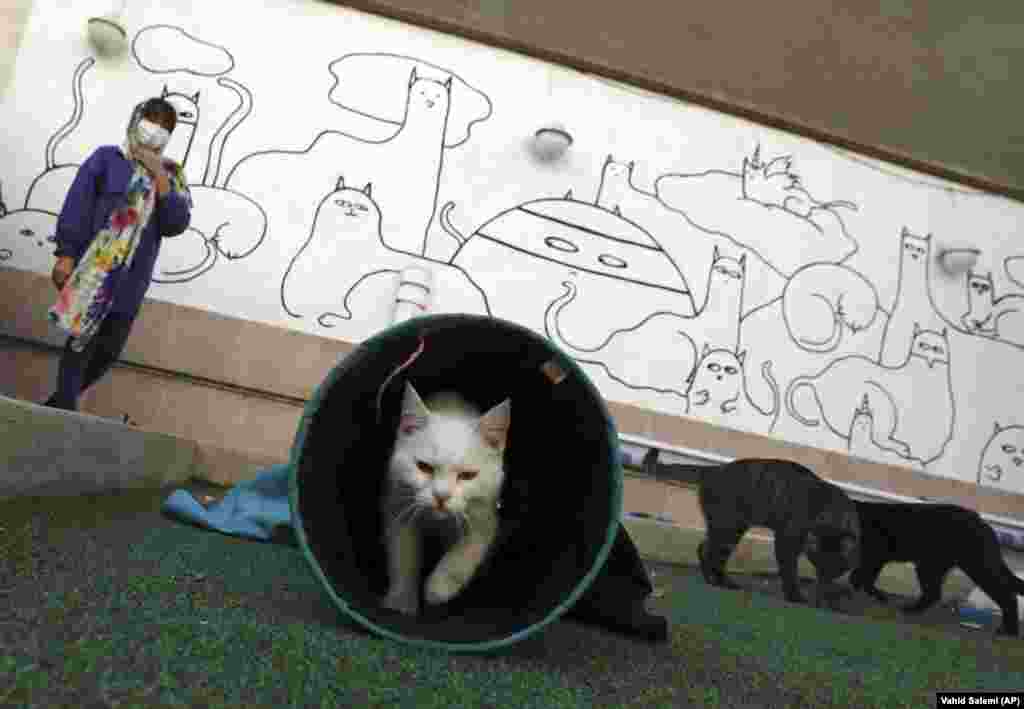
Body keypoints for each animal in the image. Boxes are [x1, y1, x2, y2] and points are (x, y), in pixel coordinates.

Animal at [380, 383, 512, 614]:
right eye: (423, 467)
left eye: (468, 475)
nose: (441, 495)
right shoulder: (398, 507)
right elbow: (403, 557)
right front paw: (401, 601)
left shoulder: (484, 516)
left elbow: (464, 553)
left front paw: (438, 588)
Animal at [643, 456, 860, 606]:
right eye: (820, 564)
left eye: (835, 567)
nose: (824, 577)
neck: (831, 511)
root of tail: (715, 469)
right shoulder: (786, 541)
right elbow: (789, 571)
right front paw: (795, 596)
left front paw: (825, 596)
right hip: (728, 528)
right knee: (710, 552)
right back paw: (718, 582)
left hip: (728, 529)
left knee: (706, 549)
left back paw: (717, 580)